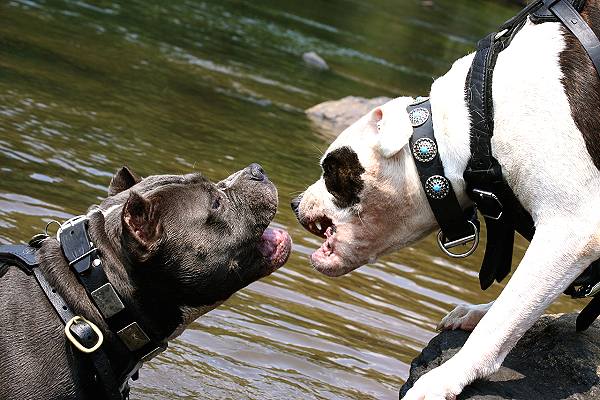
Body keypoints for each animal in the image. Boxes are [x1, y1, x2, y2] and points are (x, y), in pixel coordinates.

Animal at [292, 9, 600, 400]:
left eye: (331, 170)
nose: (294, 202)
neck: (477, 124)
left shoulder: (571, 229)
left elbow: (504, 318)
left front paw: (444, 378)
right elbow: (515, 305)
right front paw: (480, 311)